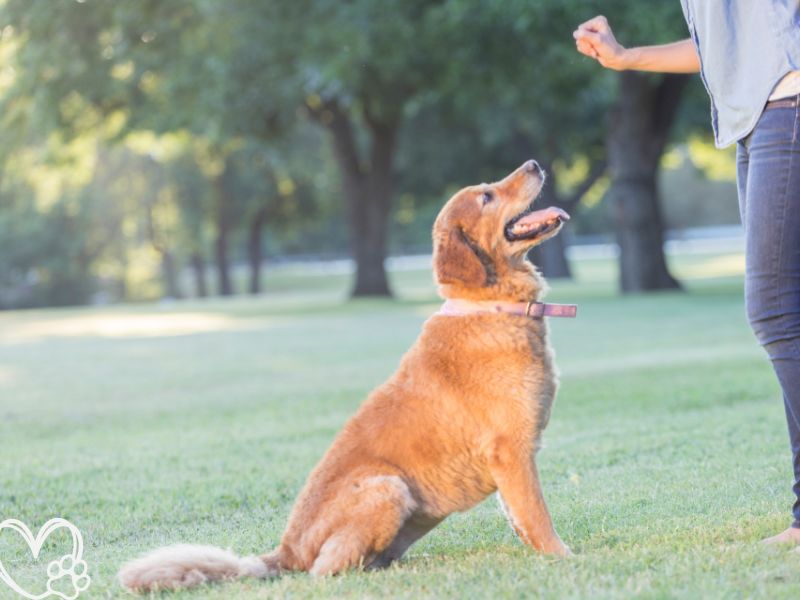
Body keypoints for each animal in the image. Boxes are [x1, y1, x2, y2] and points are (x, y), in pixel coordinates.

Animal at [119, 157, 576, 592]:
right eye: (486, 196)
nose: (534, 164)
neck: (491, 306)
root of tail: (286, 551)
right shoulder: (510, 451)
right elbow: (537, 515)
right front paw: (564, 558)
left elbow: (518, 517)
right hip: (386, 487)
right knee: (325, 570)